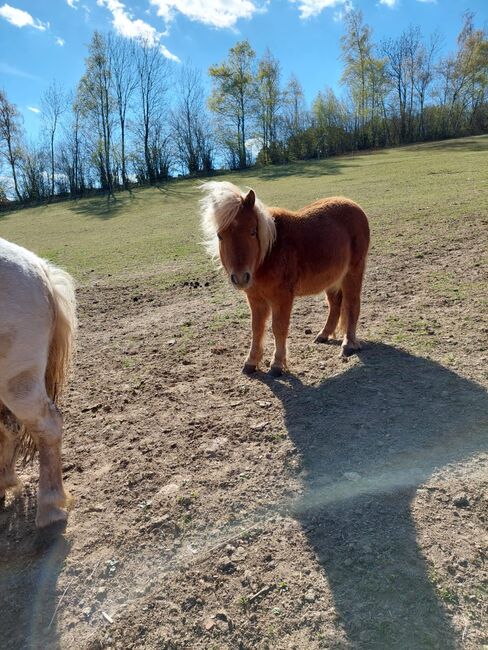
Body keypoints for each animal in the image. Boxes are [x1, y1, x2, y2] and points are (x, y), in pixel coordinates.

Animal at [200, 182, 368, 374]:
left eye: (253, 232)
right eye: (220, 236)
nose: (241, 278)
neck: (270, 252)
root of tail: (354, 205)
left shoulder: (282, 298)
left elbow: (279, 328)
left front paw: (277, 364)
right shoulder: (255, 299)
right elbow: (257, 329)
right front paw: (251, 362)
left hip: (353, 273)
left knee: (352, 304)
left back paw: (348, 345)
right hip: (332, 279)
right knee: (335, 304)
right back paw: (323, 335)